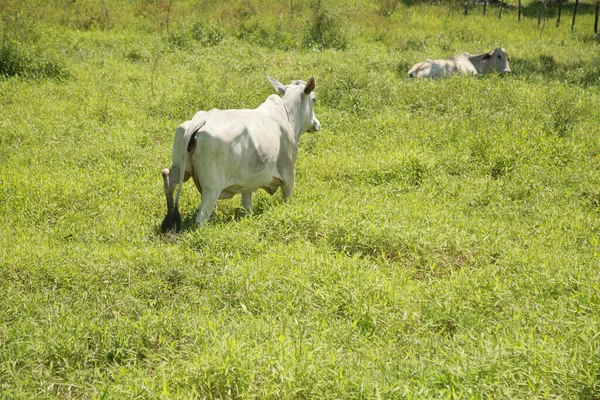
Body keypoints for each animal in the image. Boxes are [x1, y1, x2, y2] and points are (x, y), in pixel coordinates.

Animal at [159, 75, 318, 233]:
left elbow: (247, 206)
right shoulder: (288, 173)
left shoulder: (248, 184)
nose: (317, 124)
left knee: (168, 179)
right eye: (314, 99)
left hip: (181, 169)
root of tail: (199, 121)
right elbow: (288, 200)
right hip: (212, 189)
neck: (287, 113)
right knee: (200, 218)